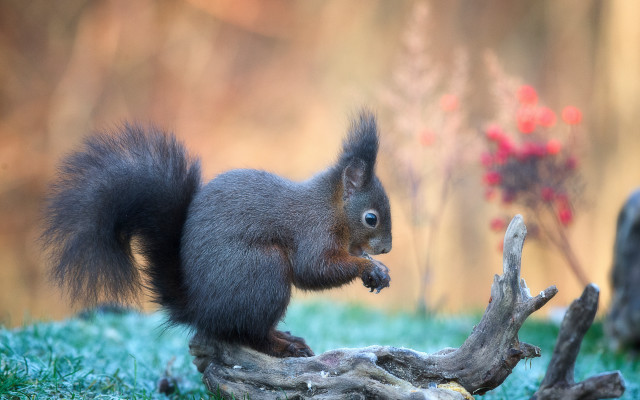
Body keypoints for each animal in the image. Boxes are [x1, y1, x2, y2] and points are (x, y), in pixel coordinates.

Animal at [42, 109, 392, 358]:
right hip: (263, 271)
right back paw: (283, 345)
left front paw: (377, 267)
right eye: (371, 218)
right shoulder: (312, 231)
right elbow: (315, 269)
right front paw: (366, 265)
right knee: (249, 334)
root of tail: (200, 310)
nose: (387, 248)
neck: (332, 207)